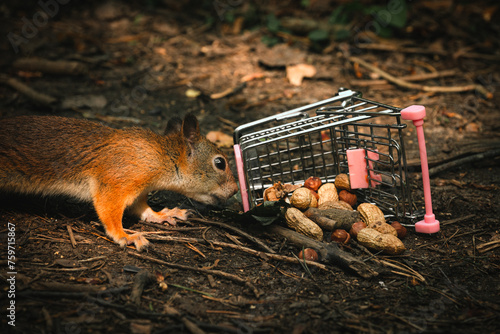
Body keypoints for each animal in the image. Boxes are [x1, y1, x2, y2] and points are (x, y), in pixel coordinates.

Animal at [0, 113, 238, 249]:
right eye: (220, 163)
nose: (236, 190)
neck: (161, 157)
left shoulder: (138, 191)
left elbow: (142, 209)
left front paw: (163, 214)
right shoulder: (117, 181)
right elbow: (109, 211)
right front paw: (125, 235)